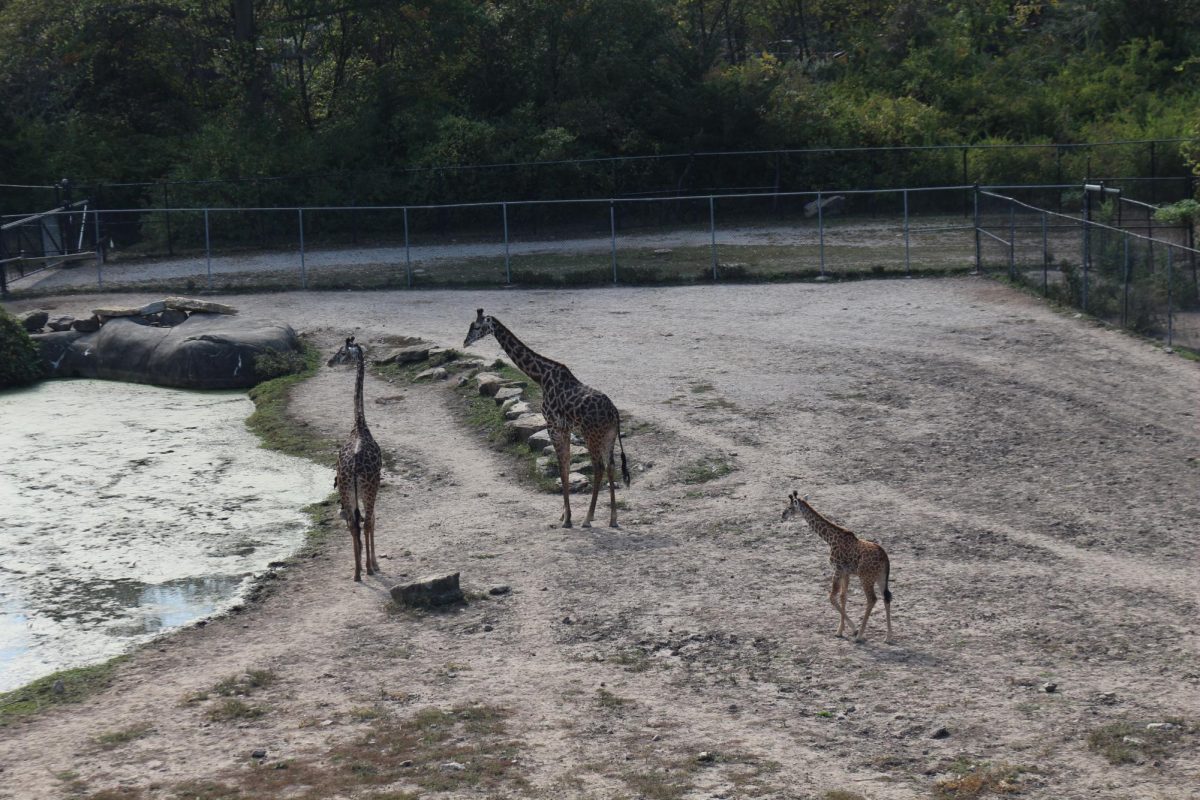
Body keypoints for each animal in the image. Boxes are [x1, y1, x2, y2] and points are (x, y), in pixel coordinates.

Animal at [460, 309, 633, 527]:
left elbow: (562, 468)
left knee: (599, 467)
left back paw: (588, 519)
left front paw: (567, 519)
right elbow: (566, 466)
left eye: (475, 326)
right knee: (611, 466)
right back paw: (612, 519)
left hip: (591, 435)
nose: (465, 342)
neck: (541, 376)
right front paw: (564, 514)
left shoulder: (553, 426)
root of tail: (614, 413)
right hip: (608, 436)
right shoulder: (564, 428)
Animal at [777, 491, 892, 642]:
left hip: (866, 578)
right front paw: (840, 631)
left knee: (872, 599)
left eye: (790, 507)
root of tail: (885, 558)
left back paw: (860, 635)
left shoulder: (837, 569)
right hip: (880, 577)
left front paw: (853, 629)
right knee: (887, 597)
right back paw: (888, 637)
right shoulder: (846, 572)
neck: (830, 539)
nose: (782, 516)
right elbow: (843, 596)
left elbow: (832, 597)